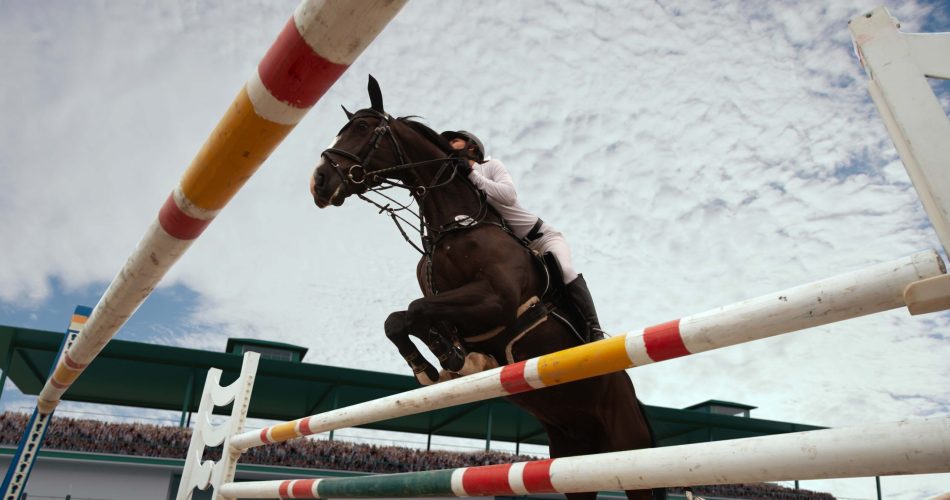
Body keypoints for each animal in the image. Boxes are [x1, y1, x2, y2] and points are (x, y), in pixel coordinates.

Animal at [310, 76, 663, 500]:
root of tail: (634, 398)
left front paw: (452, 359)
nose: (319, 182)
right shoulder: (445, 299)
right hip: (573, 458)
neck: (455, 226)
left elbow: (415, 311)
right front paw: (439, 363)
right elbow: (400, 319)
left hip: (629, 452)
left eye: (362, 128)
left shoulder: (497, 300)